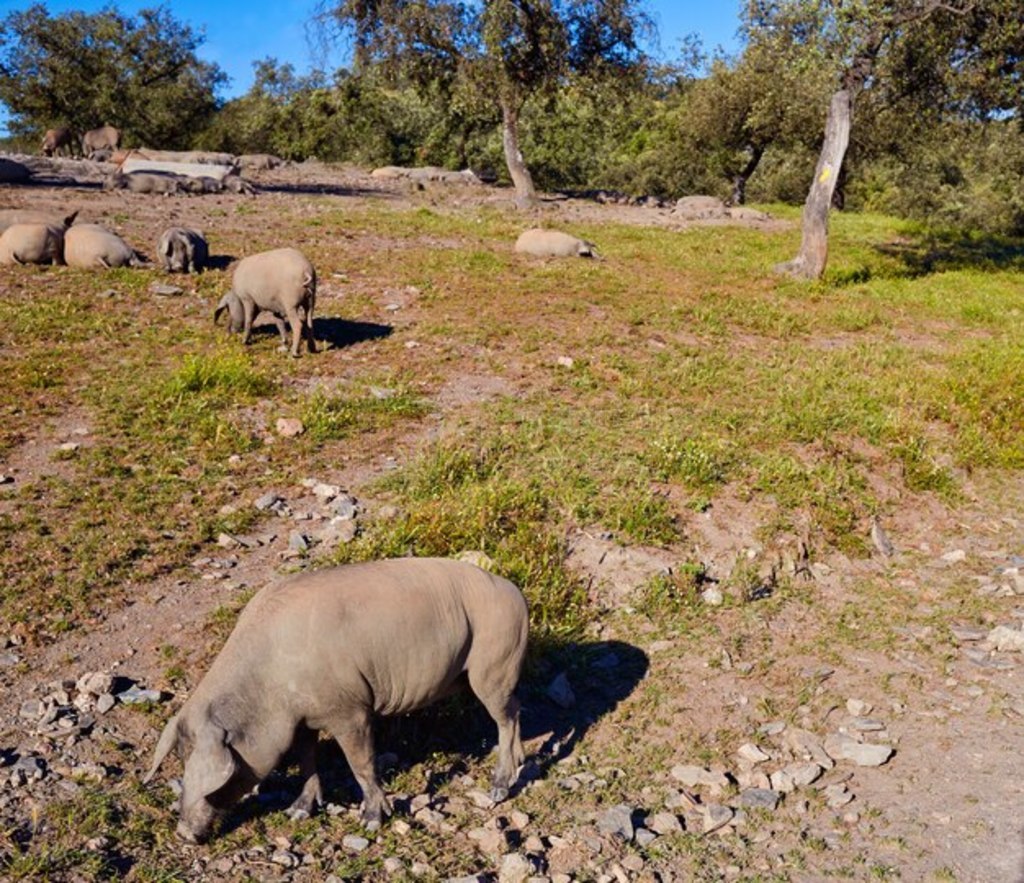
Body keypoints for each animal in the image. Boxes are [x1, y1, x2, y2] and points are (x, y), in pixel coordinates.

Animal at [145, 561, 532, 844]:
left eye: (217, 781)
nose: (183, 834)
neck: (270, 679)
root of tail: (516, 592)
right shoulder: (301, 720)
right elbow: (306, 759)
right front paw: (297, 812)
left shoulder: (351, 711)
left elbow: (361, 764)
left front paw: (371, 821)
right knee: (515, 707)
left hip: (493, 663)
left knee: (505, 716)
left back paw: (499, 787)